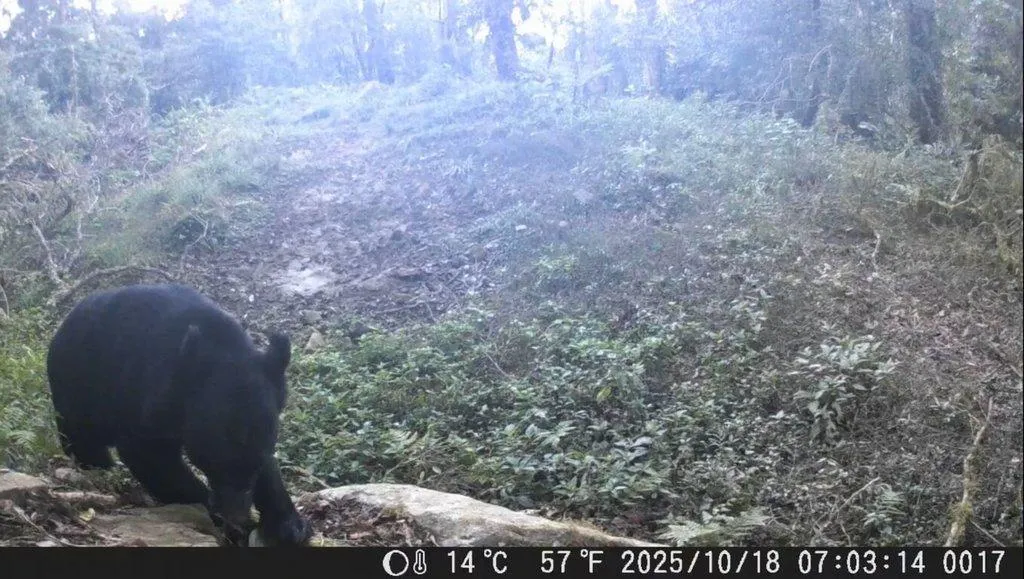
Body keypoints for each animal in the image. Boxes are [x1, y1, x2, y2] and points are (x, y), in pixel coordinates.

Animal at [45, 283, 312, 547]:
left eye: (255, 466)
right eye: (215, 464)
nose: (236, 517)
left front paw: (290, 525)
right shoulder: (149, 393)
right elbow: (149, 455)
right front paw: (221, 517)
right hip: (78, 384)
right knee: (81, 436)